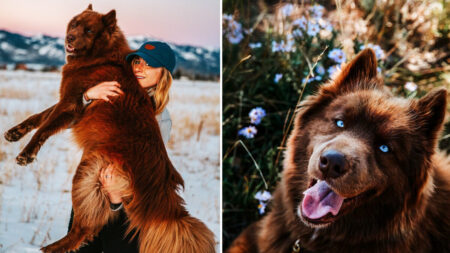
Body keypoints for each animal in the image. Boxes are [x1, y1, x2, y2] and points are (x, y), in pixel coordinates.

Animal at [3, 4, 214, 253]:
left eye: (89, 30)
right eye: (75, 24)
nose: (69, 37)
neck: (100, 55)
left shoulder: (71, 105)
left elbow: (43, 128)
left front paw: (26, 154)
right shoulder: (69, 103)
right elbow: (39, 118)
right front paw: (14, 133)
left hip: (87, 174)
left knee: (83, 229)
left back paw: (52, 247)